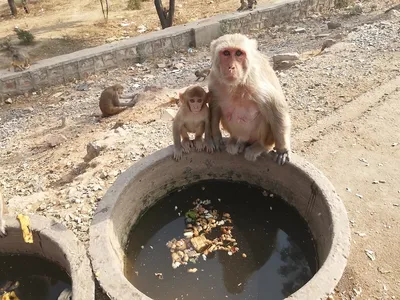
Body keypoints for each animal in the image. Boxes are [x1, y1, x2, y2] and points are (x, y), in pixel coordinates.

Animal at [206, 34, 290, 165]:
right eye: (226, 53)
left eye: (238, 53)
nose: (231, 67)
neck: (236, 85)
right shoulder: (214, 79)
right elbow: (215, 106)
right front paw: (216, 137)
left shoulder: (255, 81)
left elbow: (277, 109)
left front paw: (282, 150)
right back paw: (236, 141)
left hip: (266, 137)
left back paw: (260, 146)